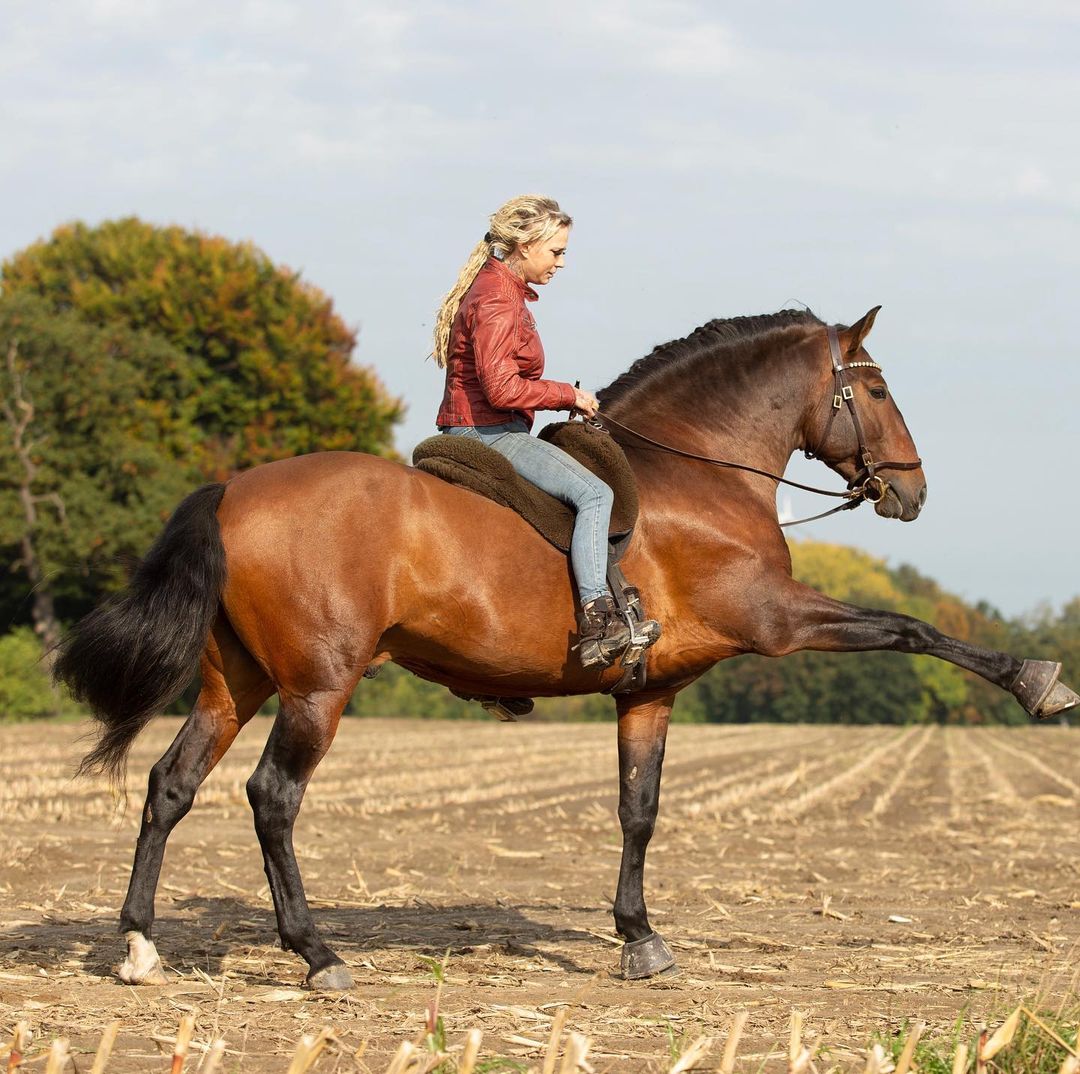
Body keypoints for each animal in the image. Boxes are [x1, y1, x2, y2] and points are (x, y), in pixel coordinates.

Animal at [52, 302, 1080, 989]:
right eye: (873, 388)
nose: (913, 491)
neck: (698, 473)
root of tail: (232, 490)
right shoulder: (780, 621)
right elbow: (913, 629)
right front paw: (1036, 679)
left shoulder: (651, 692)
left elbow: (639, 811)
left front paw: (638, 936)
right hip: (316, 687)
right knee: (272, 799)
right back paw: (316, 954)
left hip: (237, 683)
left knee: (170, 786)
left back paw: (139, 944)